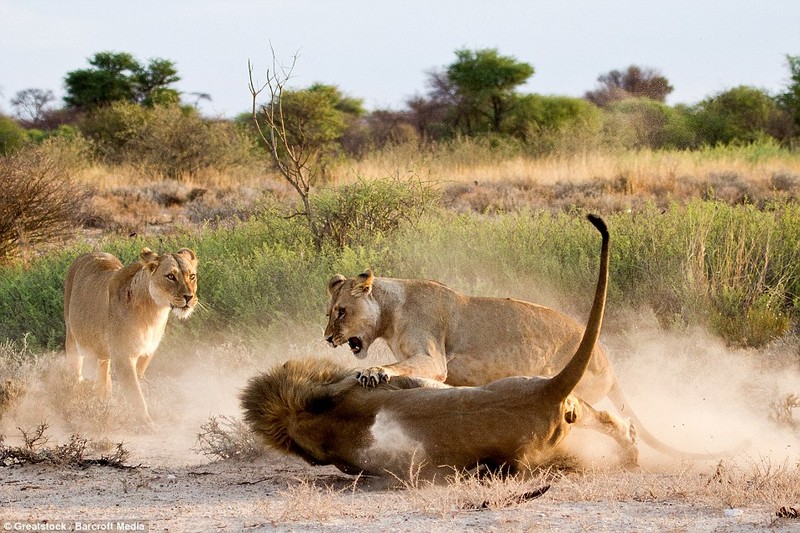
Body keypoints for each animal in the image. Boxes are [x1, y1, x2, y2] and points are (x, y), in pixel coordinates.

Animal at [64, 247, 198, 426]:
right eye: (170, 276)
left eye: (192, 276)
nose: (189, 297)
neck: (153, 312)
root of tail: (88, 253)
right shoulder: (123, 356)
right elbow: (135, 393)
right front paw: (147, 425)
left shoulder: (148, 351)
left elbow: (135, 383)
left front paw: (123, 406)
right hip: (72, 337)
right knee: (75, 372)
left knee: (103, 368)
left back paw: (103, 399)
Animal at [241, 215, 636, 478]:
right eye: (330, 312)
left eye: (340, 312)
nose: (327, 338)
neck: (390, 314)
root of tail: (609, 364)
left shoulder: (432, 360)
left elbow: (393, 368)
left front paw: (373, 372)